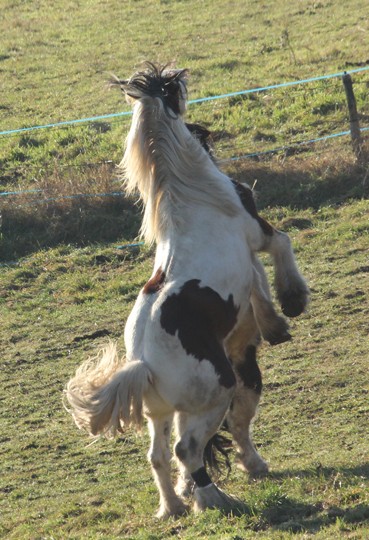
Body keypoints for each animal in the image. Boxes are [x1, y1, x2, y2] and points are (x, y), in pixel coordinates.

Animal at [65, 61, 308, 516]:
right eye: (170, 87)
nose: (179, 73)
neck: (188, 196)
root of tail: (144, 364)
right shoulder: (256, 233)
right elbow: (282, 245)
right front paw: (294, 300)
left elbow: (258, 291)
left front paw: (276, 322)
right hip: (211, 396)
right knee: (188, 448)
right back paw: (215, 498)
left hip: (159, 413)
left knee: (160, 455)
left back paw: (174, 506)